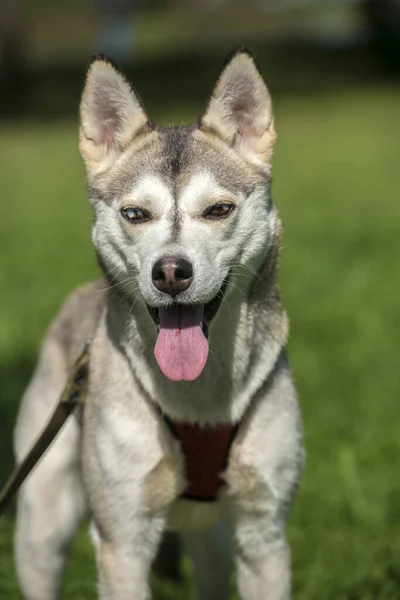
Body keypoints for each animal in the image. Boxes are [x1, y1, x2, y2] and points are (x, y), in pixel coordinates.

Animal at [14, 48, 304, 600]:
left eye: (218, 209)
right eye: (135, 214)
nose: (170, 272)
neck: (200, 400)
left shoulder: (264, 531)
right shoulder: (122, 539)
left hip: (210, 540)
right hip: (43, 518)